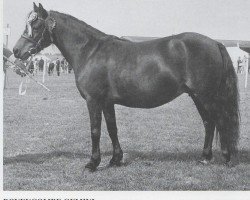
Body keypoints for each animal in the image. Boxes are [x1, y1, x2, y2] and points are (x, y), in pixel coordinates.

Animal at [12, 3, 239, 171]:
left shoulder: (94, 101)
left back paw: (227, 158)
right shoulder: (107, 102)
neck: (90, 51)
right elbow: (112, 129)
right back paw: (205, 157)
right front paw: (115, 159)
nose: (16, 51)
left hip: (206, 96)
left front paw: (92, 163)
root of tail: (215, 43)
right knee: (209, 123)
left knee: (220, 121)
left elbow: (95, 130)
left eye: (36, 26)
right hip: (197, 96)